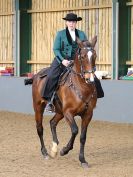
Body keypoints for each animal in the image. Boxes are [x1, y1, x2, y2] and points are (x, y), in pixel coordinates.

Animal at [25, 35, 97, 167]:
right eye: (82, 56)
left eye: (94, 56)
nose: (90, 79)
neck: (81, 87)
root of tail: (37, 75)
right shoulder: (68, 112)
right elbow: (75, 130)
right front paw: (65, 150)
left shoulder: (88, 114)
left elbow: (83, 137)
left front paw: (82, 160)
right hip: (38, 107)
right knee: (40, 128)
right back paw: (45, 152)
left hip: (59, 111)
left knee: (52, 123)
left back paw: (54, 149)